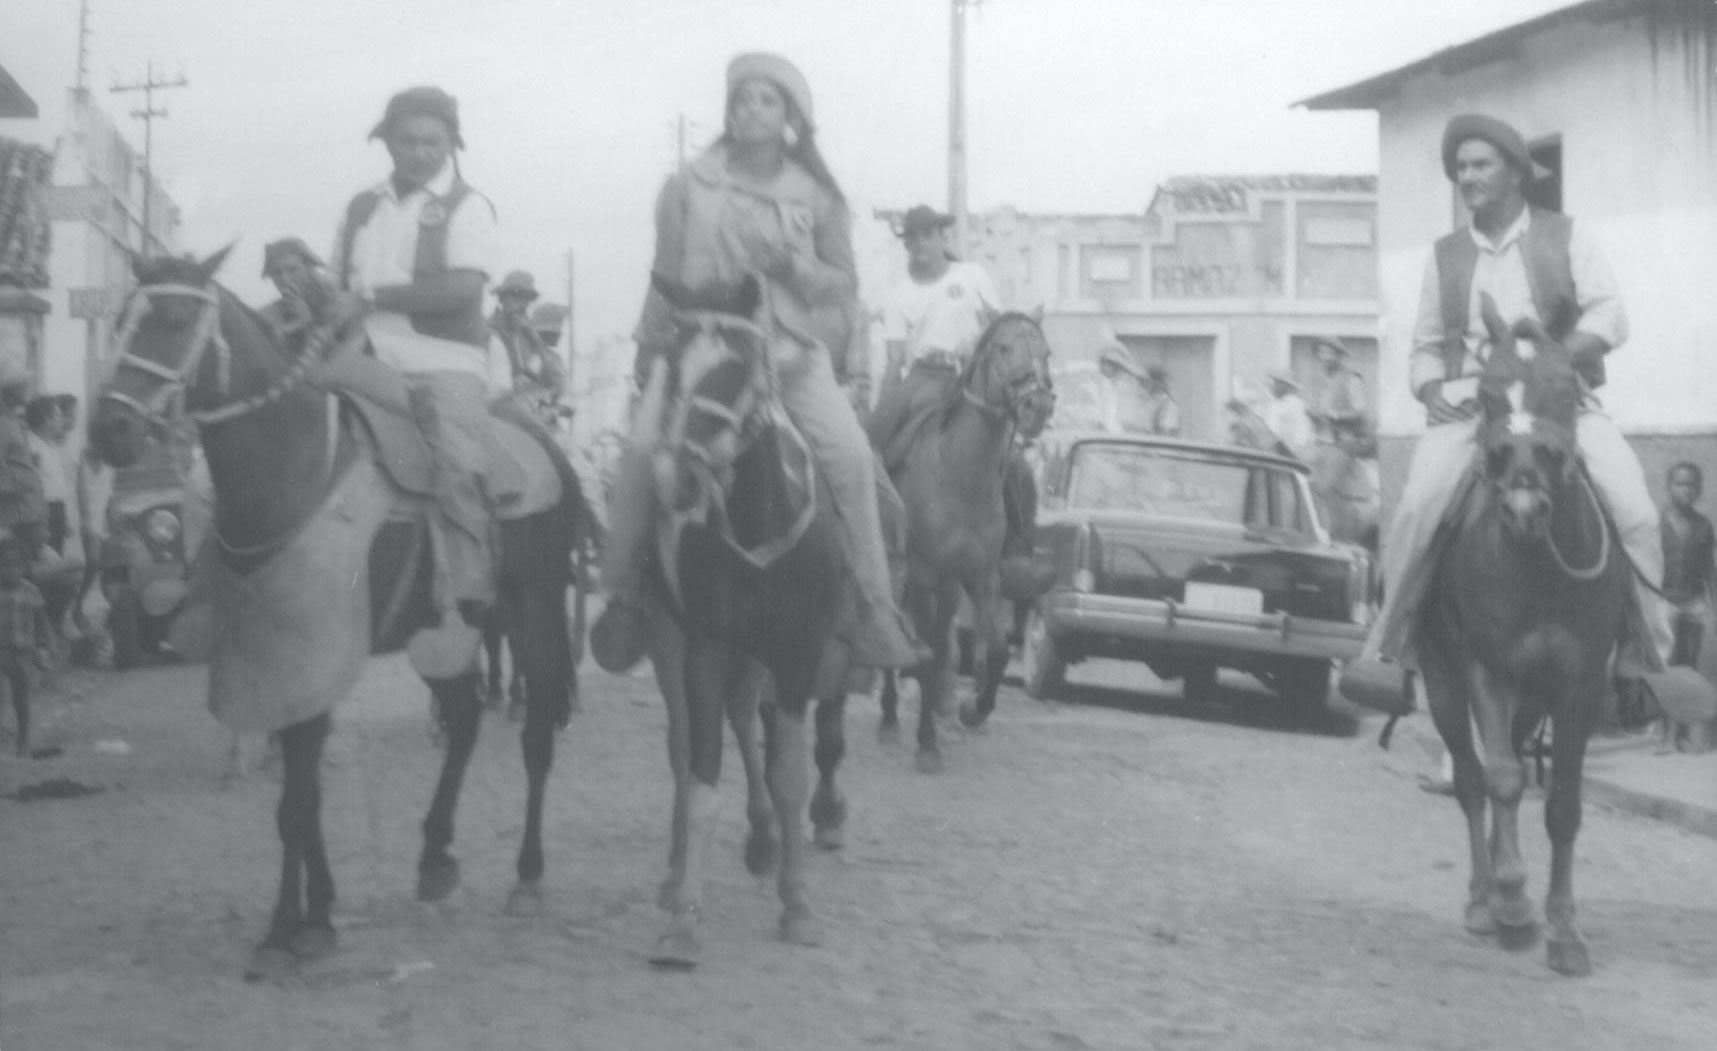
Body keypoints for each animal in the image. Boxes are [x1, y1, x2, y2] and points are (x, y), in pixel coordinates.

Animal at [94, 250, 590, 982]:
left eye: (178, 317)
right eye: (123, 317)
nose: (110, 428)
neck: (293, 471)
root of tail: (544, 446)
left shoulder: (315, 649)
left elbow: (298, 800)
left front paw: (290, 928)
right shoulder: (280, 657)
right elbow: (301, 799)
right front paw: (312, 916)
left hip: (533, 612)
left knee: (534, 736)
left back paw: (526, 875)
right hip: (436, 631)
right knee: (465, 719)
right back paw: (434, 856)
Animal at [642, 273, 855, 968]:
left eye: (735, 367)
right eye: (670, 361)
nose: (674, 479)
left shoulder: (799, 652)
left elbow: (788, 775)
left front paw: (798, 906)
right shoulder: (706, 645)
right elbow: (704, 778)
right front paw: (684, 921)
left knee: (744, 719)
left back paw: (763, 841)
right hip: (670, 640)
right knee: (684, 744)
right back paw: (675, 868)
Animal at [879, 312, 1050, 772]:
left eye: (1046, 352)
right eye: (1004, 349)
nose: (1039, 405)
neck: (960, 475)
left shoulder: (981, 577)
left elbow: (995, 651)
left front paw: (972, 709)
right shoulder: (923, 575)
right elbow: (929, 653)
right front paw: (927, 745)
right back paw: (889, 718)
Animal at [1414, 293, 1627, 975]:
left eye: (1565, 389)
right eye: (1484, 394)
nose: (1524, 507)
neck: (1539, 568)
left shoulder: (1581, 689)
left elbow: (1563, 806)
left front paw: (1563, 930)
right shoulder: (1487, 671)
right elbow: (1503, 780)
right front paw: (1512, 901)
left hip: (1533, 701)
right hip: (1443, 681)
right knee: (1471, 779)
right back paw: (1484, 901)